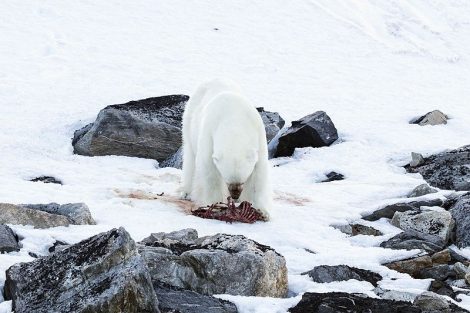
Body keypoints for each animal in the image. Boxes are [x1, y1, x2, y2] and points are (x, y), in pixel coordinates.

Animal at [183, 79, 272, 218]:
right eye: (227, 181)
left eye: (242, 181)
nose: (235, 196)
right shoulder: (209, 133)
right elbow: (209, 171)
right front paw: (215, 205)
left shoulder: (259, 135)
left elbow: (259, 173)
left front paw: (261, 211)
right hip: (190, 120)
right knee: (190, 156)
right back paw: (185, 191)